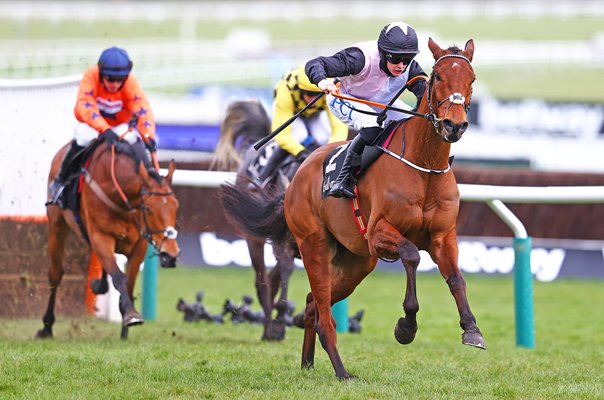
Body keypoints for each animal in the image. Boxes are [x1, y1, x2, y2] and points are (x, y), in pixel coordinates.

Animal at [36, 139, 179, 340]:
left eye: (176, 206)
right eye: (148, 208)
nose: (171, 255)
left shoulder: (140, 245)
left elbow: (129, 282)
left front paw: (125, 328)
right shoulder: (100, 237)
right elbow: (119, 277)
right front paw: (131, 315)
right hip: (57, 226)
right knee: (55, 274)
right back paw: (47, 326)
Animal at [212, 100, 306, 340]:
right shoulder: (283, 241)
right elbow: (284, 270)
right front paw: (279, 324)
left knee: (270, 278)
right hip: (254, 237)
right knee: (261, 280)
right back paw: (268, 327)